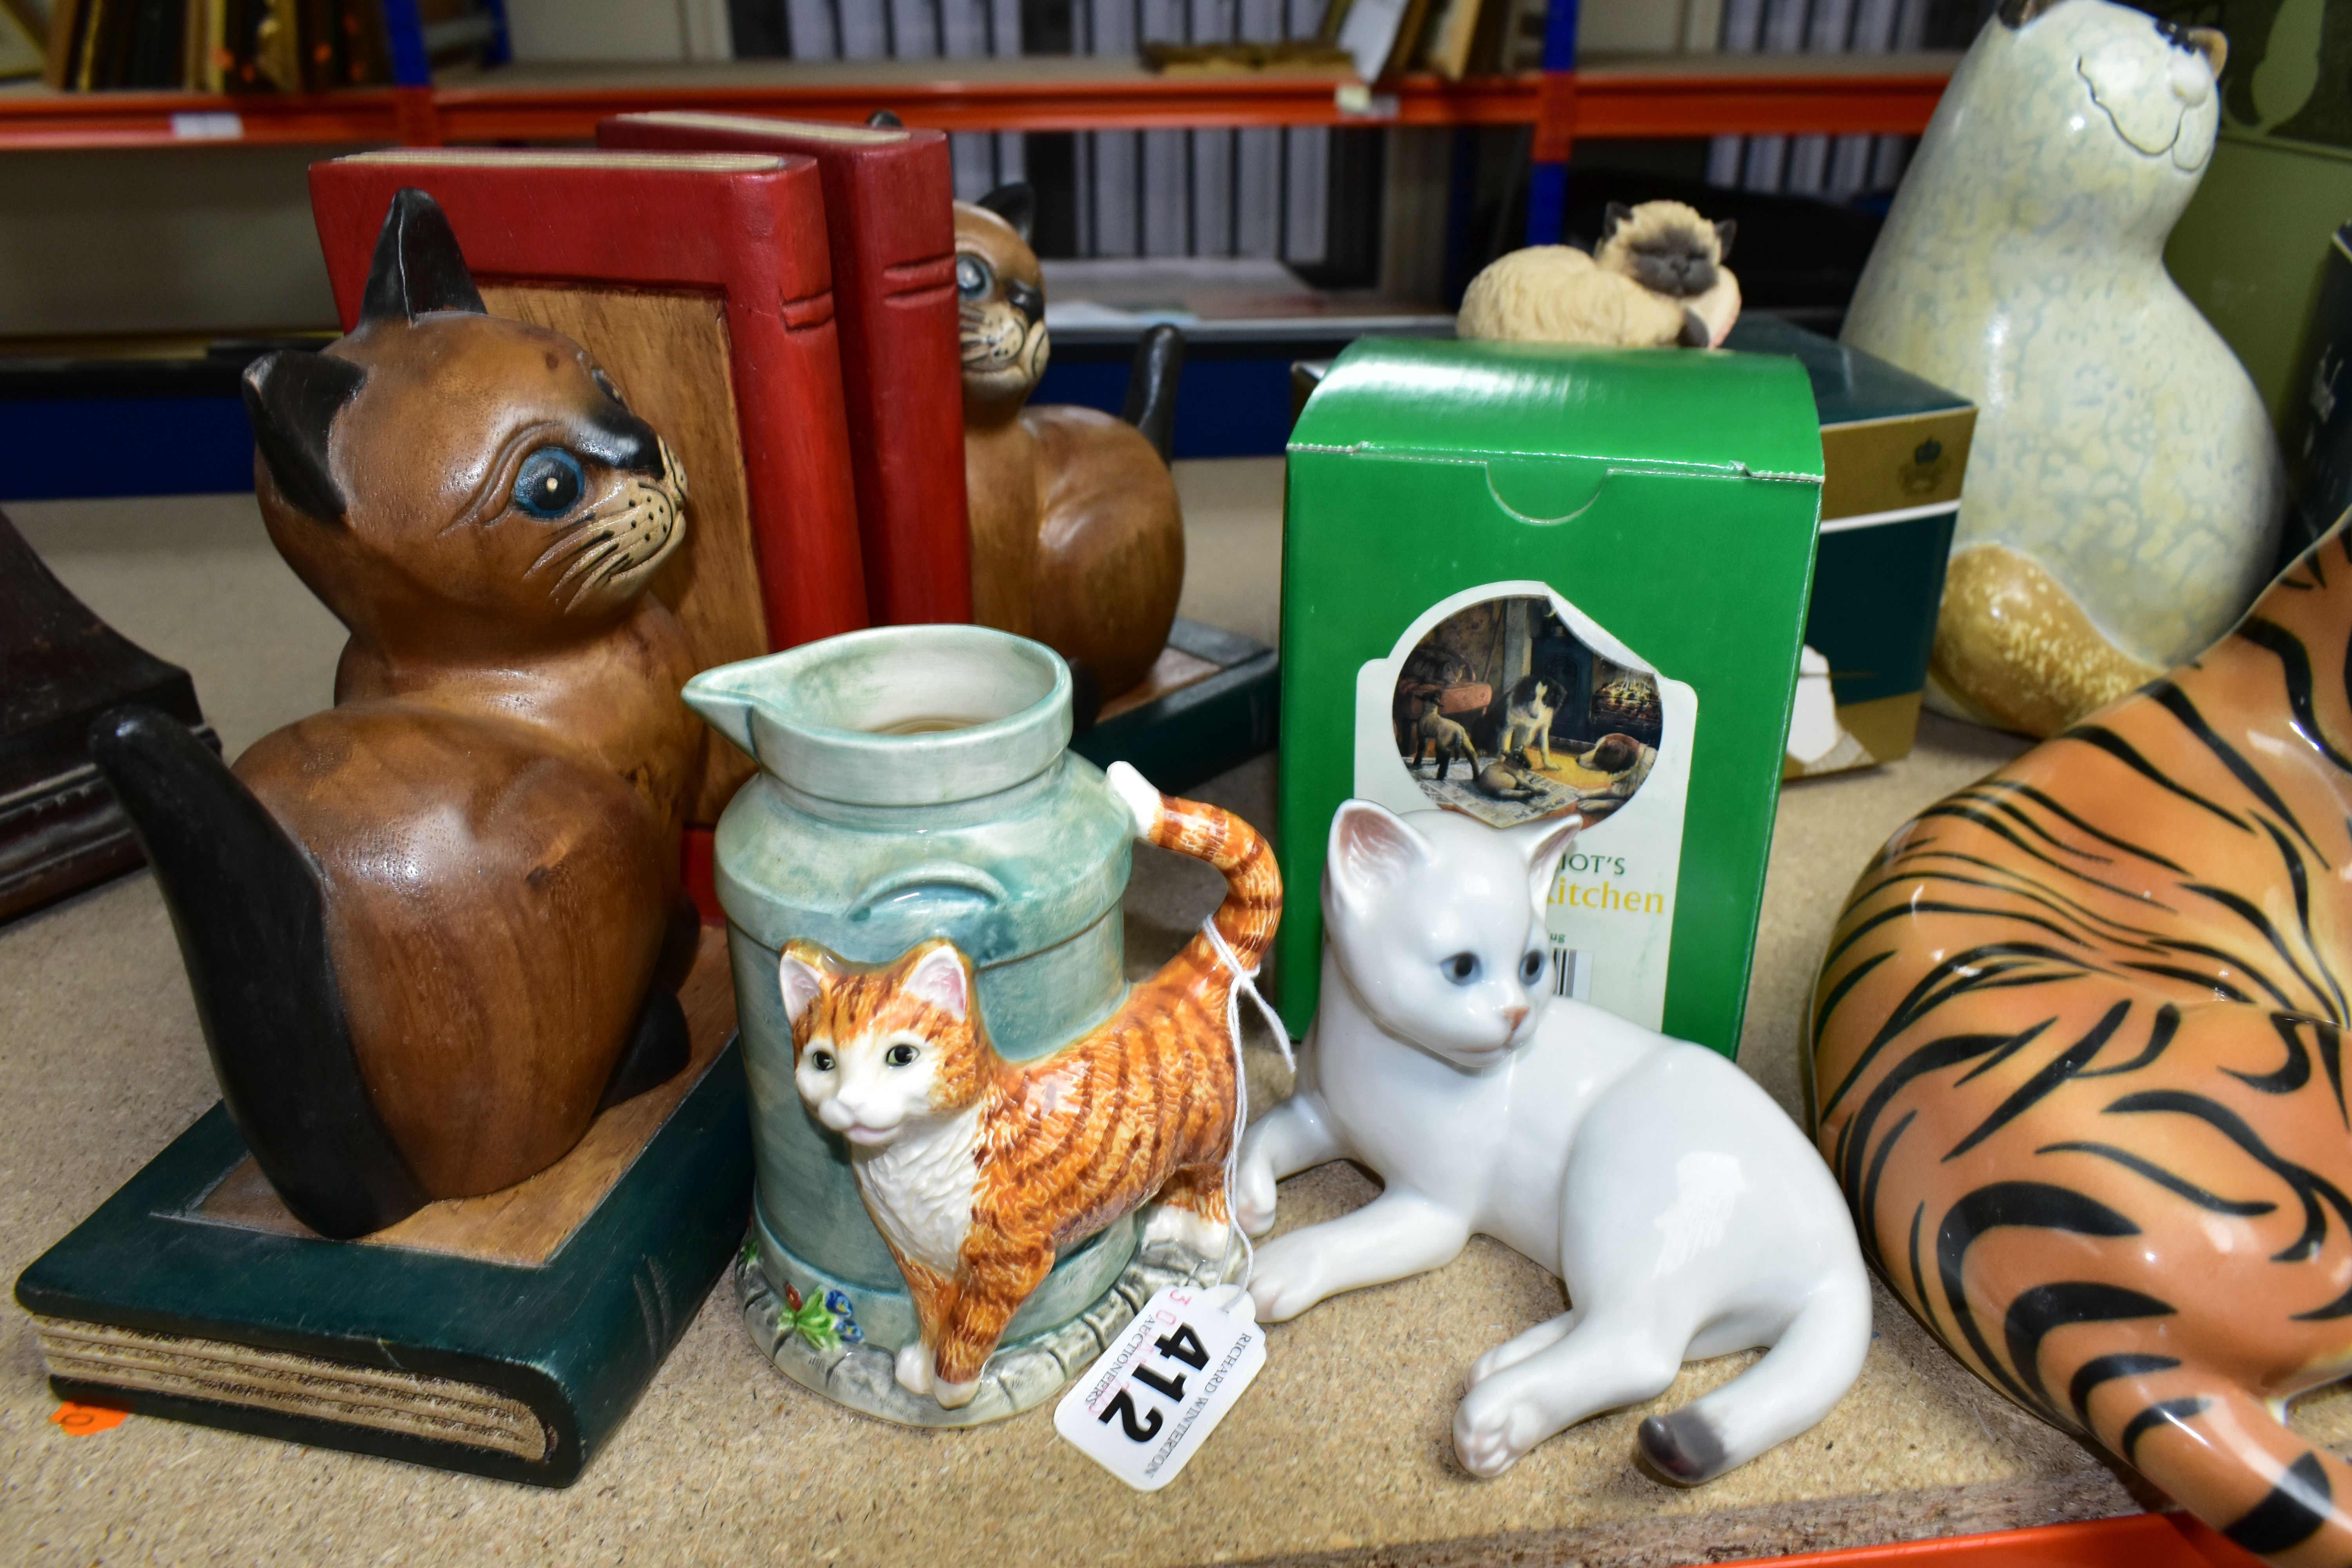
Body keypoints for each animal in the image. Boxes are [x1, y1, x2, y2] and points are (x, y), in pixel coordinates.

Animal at [1232, 804, 1872, 1476]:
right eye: (1463, 968)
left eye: (1533, 966)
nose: (1517, 1016)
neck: (1383, 1052)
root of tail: (1844, 1266)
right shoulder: (1321, 1114)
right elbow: (1263, 1132)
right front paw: (1247, 1204)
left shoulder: (1433, 1211)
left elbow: (1347, 1237)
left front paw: (1280, 1264)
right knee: (1628, 1330)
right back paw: (1507, 1360)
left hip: (1620, 1192)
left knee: (1641, 1350)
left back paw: (1499, 1416)